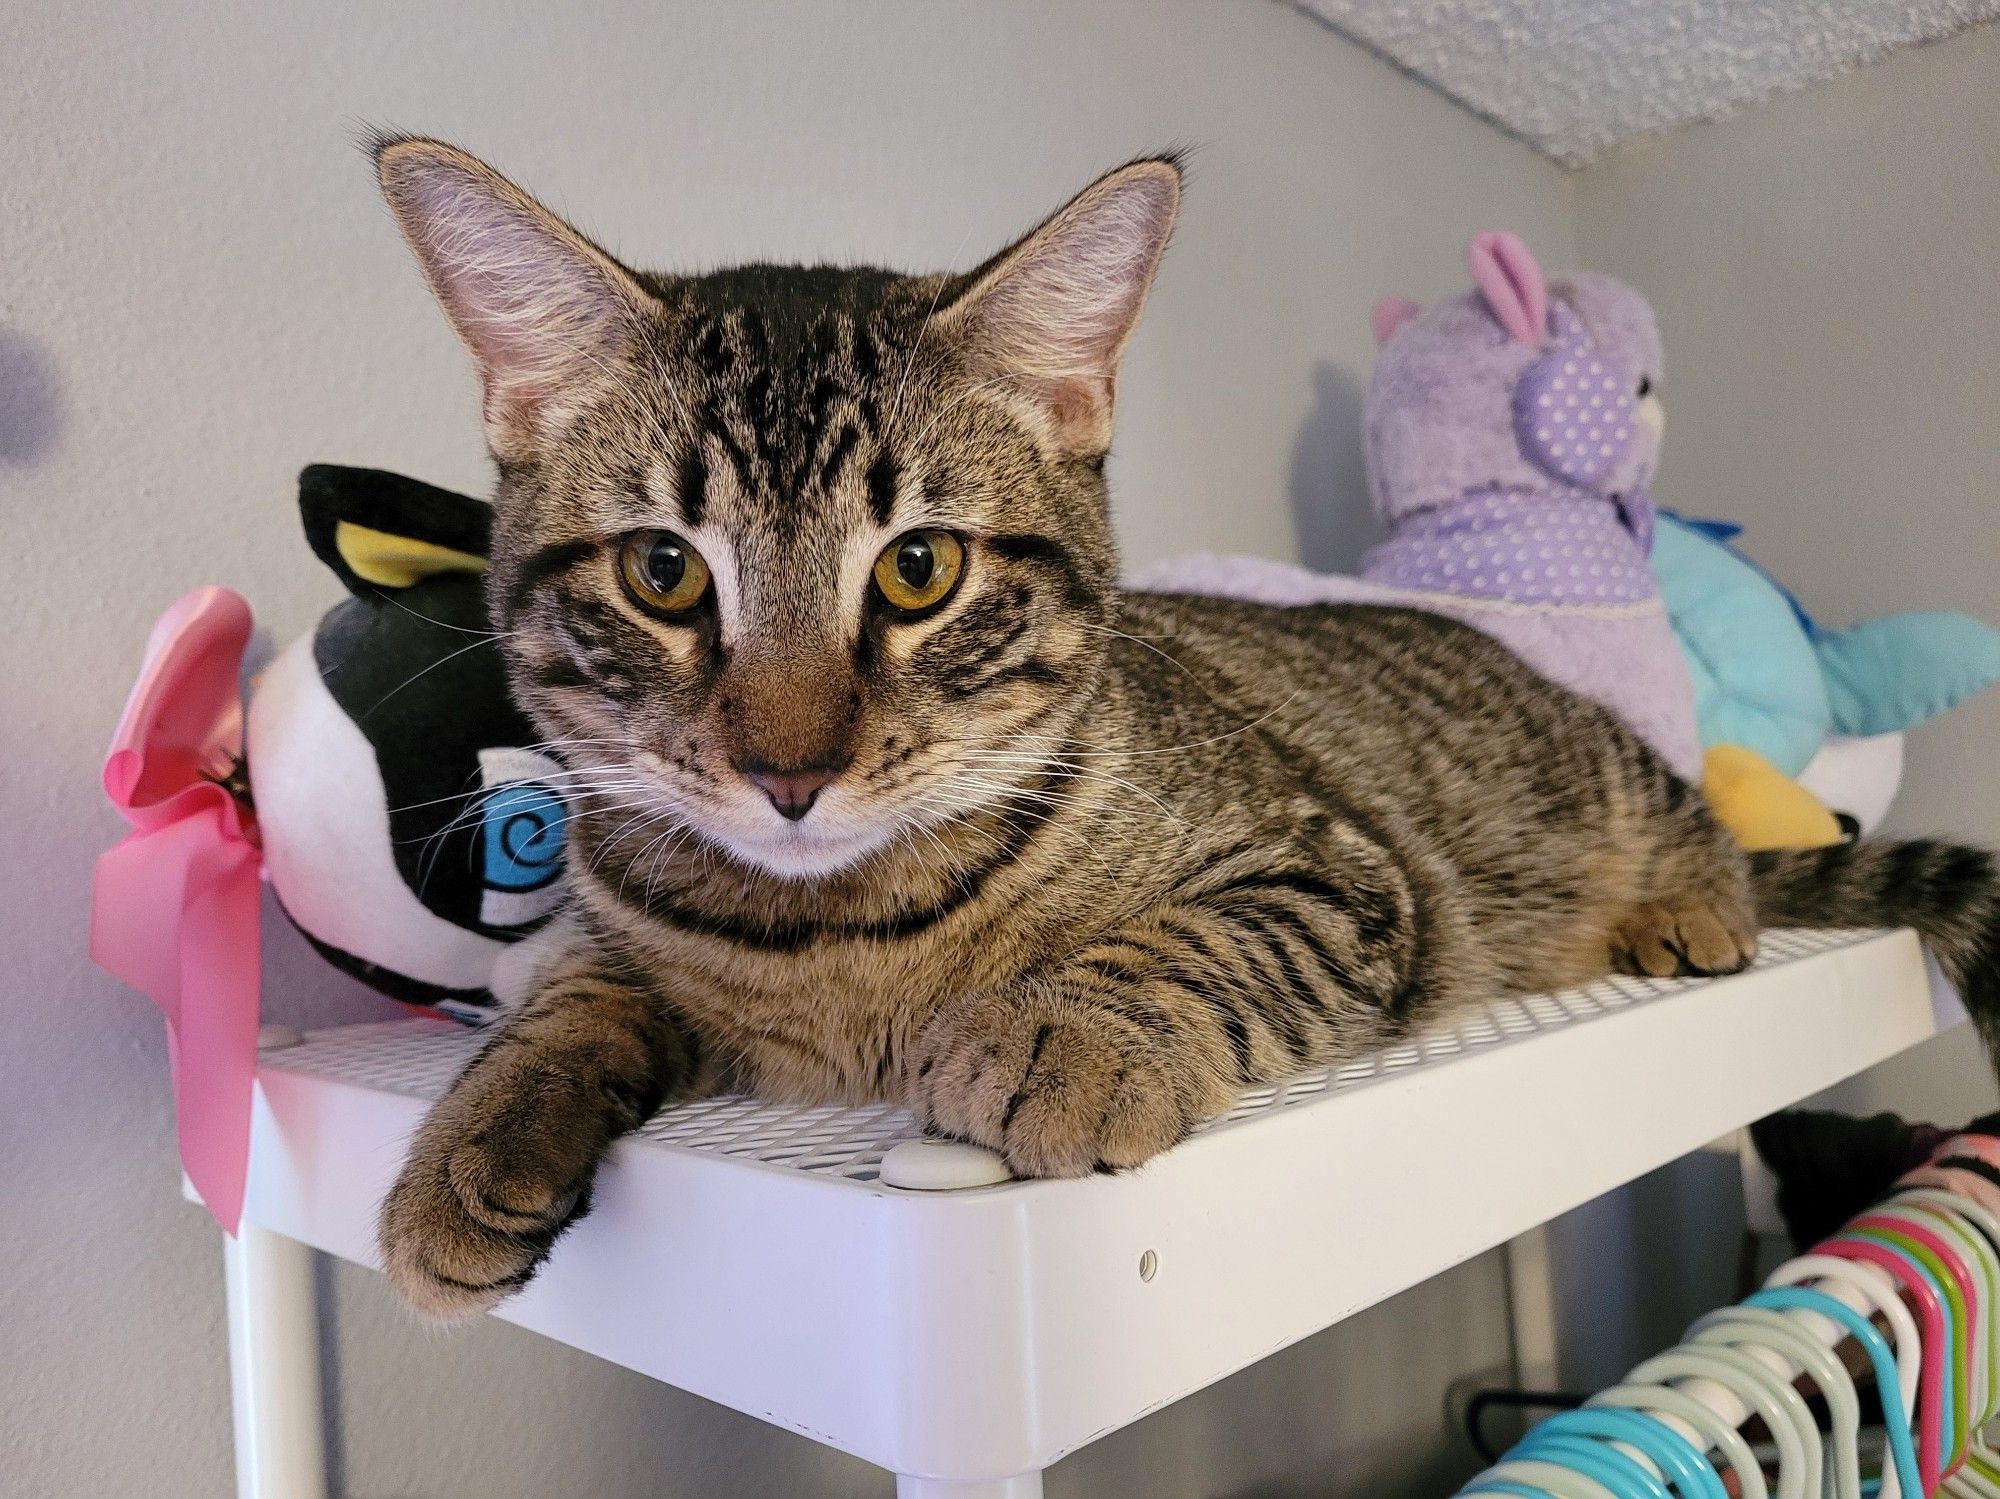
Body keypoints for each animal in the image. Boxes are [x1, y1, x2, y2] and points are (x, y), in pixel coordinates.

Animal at [368, 137, 1992, 1311]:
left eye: (918, 567)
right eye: (661, 571)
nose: (789, 771)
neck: (836, 937)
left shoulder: (1340, 865)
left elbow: (1201, 938)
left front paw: (1064, 1029)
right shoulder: (625, 915)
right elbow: (574, 991)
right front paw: (478, 1130)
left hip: (1588, 774)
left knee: (1690, 809)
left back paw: (1687, 902)